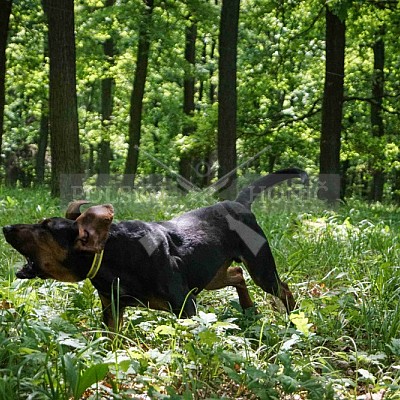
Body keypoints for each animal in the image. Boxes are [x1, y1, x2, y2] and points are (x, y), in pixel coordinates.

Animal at [3, 167, 308, 330]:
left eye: (45, 228)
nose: (6, 228)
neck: (114, 257)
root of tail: (240, 204)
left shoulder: (185, 306)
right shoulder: (112, 309)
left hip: (261, 268)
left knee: (281, 287)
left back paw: (294, 317)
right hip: (210, 275)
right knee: (236, 274)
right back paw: (248, 309)